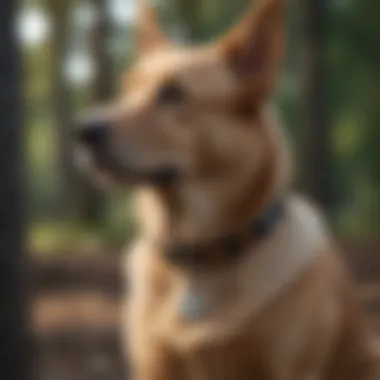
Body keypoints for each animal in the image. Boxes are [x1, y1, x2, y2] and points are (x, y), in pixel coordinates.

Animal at [75, 0, 380, 378]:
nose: (83, 131)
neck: (201, 257)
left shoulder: (291, 368)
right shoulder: (153, 364)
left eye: (173, 94)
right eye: (127, 89)